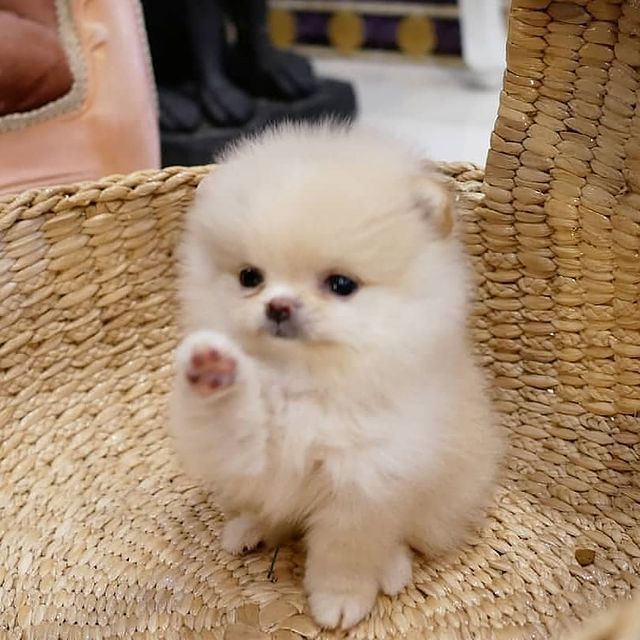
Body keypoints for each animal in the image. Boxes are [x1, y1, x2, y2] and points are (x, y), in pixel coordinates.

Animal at [170, 124, 504, 632]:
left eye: (341, 285)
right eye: (250, 277)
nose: (279, 305)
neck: (302, 383)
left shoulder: (363, 486)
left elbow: (345, 555)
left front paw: (339, 601)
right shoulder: (246, 454)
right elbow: (232, 426)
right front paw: (213, 368)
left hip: (441, 502)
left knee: (405, 536)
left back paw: (392, 568)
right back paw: (250, 527)